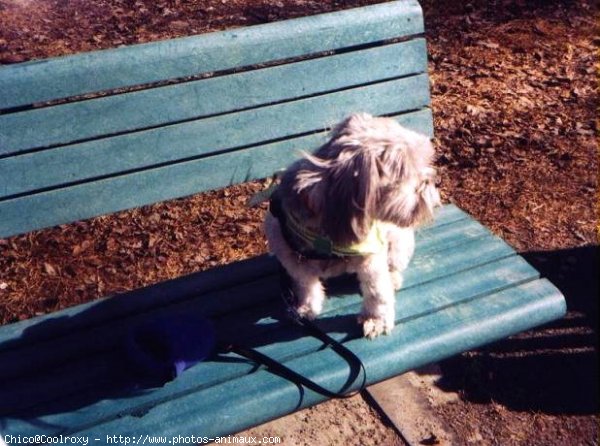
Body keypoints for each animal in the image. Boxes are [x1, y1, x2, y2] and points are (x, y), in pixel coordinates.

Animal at [264, 114, 438, 338]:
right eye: (409, 175)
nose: (432, 181)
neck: (325, 239)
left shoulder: (371, 260)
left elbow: (377, 293)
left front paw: (376, 320)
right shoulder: (291, 259)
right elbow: (307, 285)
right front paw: (306, 308)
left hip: (399, 246)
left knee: (394, 267)